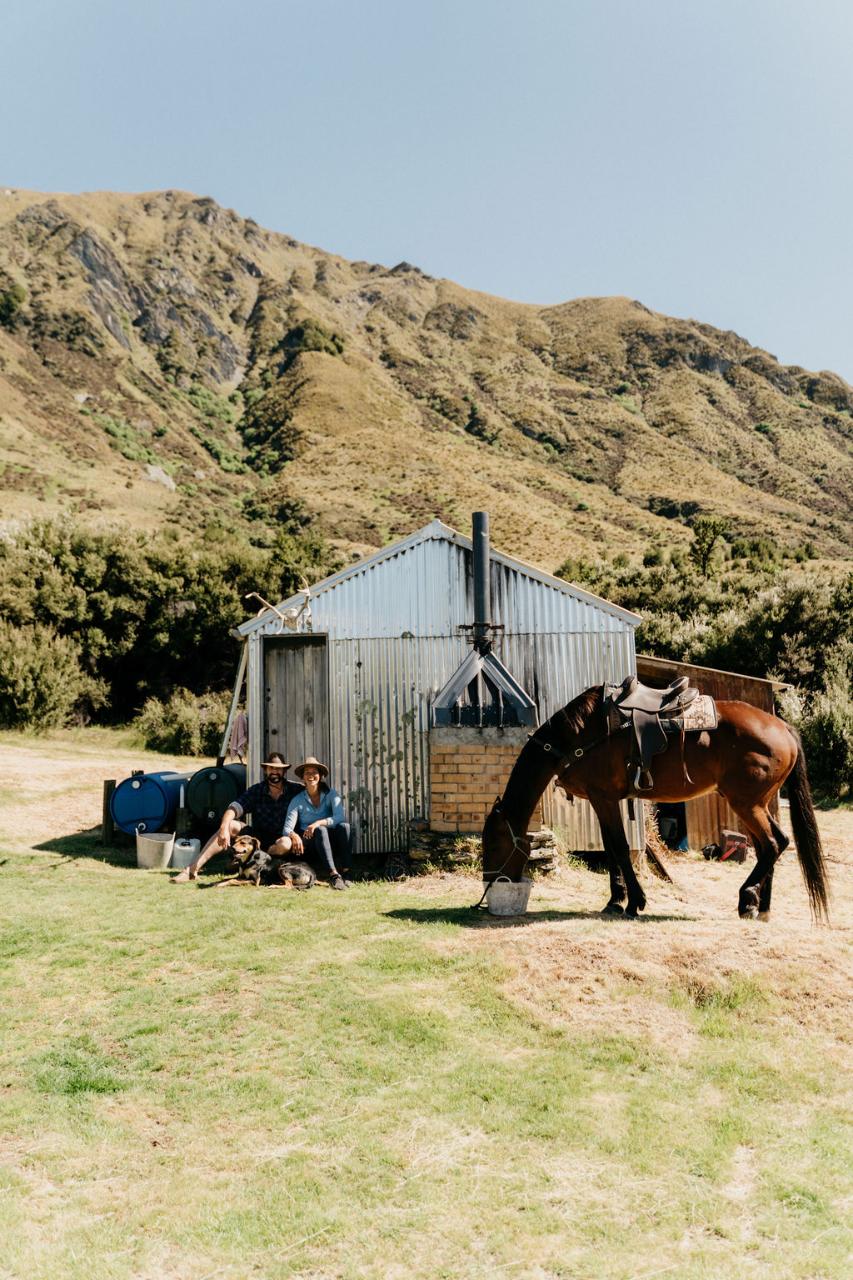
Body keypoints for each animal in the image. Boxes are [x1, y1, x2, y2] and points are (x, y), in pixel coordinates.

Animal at [481, 691, 824, 921]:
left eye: (494, 844)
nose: (489, 881)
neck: (579, 736)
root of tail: (782, 728)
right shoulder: (603, 800)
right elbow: (610, 848)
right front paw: (615, 900)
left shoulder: (604, 798)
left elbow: (620, 848)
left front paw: (634, 902)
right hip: (757, 803)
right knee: (775, 844)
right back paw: (760, 906)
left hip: (746, 803)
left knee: (772, 844)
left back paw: (746, 898)